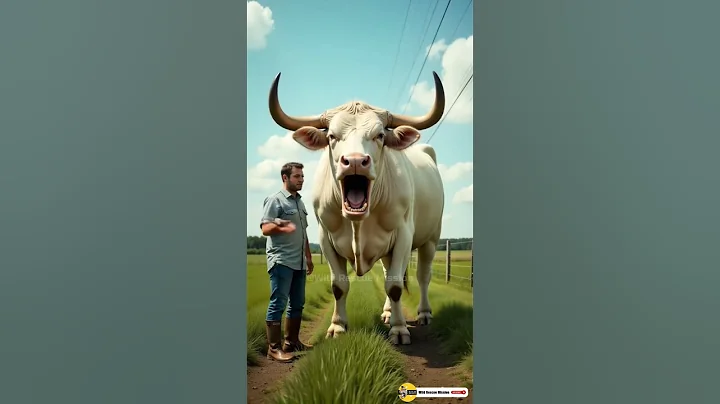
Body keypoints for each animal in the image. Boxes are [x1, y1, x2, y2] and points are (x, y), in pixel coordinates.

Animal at [267, 71, 446, 345]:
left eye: (380, 135)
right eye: (331, 136)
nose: (354, 161)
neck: (358, 222)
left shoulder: (404, 235)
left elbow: (395, 285)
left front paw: (399, 329)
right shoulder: (325, 238)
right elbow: (339, 286)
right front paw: (337, 326)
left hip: (431, 238)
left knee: (423, 276)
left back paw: (424, 313)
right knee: (388, 271)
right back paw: (387, 312)